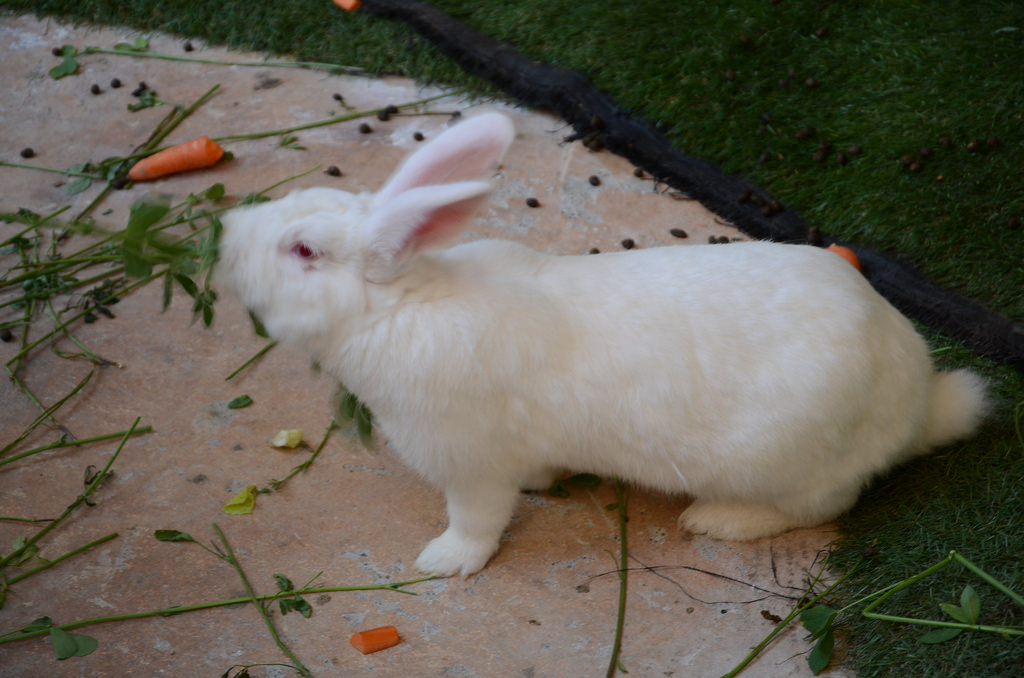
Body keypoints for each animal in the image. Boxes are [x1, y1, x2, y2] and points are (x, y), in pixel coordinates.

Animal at [217, 111, 990, 577]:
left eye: (303, 251)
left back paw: (716, 520)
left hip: (789, 464)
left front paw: (442, 563)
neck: (400, 304)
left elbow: (477, 521)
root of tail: (917, 401)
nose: (227, 233)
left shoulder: (468, 463)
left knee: (823, 507)